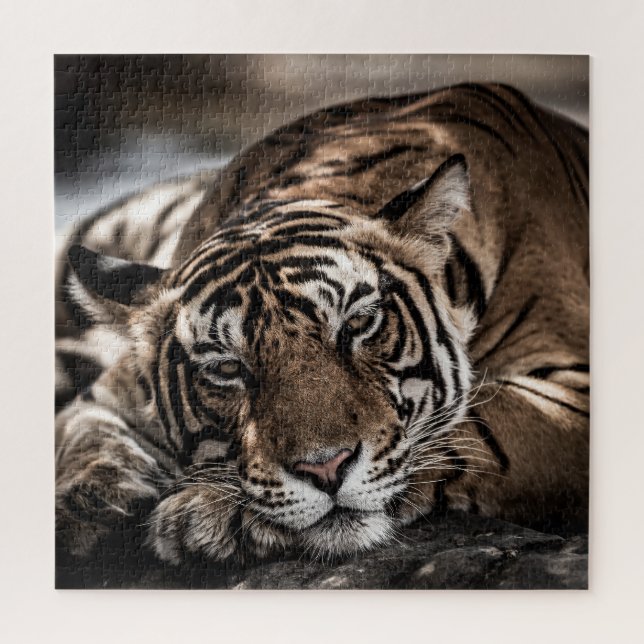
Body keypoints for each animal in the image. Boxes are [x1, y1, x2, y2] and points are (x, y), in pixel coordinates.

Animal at [55, 82, 589, 564]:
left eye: (359, 324)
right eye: (227, 368)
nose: (326, 470)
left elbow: (479, 424)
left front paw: (209, 510)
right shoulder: (109, 394)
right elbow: (89, 442)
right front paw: (83, 508)